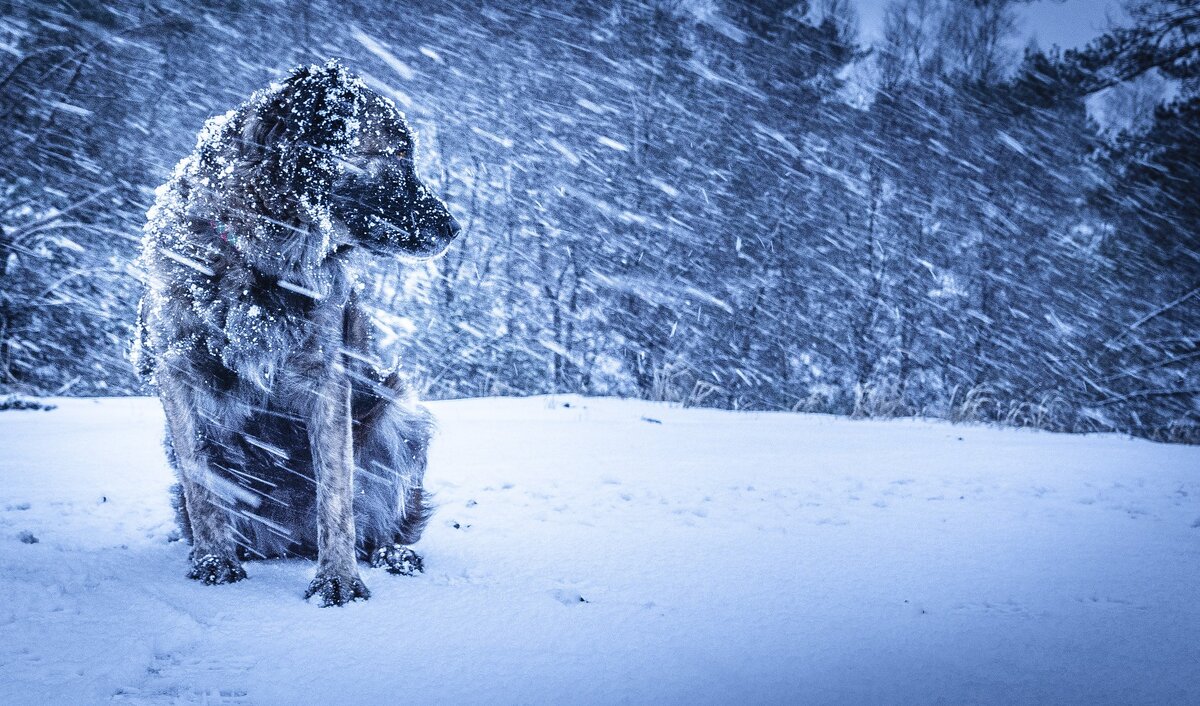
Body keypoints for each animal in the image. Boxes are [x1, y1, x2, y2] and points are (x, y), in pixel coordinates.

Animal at [133, 60, 460, 607]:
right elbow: (202, 482)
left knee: (379, 521)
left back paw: (391, 552)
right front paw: (213, 561)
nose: (455, 228)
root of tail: (292, 540)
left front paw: (339, 579)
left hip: (398, 413)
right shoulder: (178, 371)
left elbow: (337, 493)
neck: (253, 253)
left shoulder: (325, 378)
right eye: (396, 155)